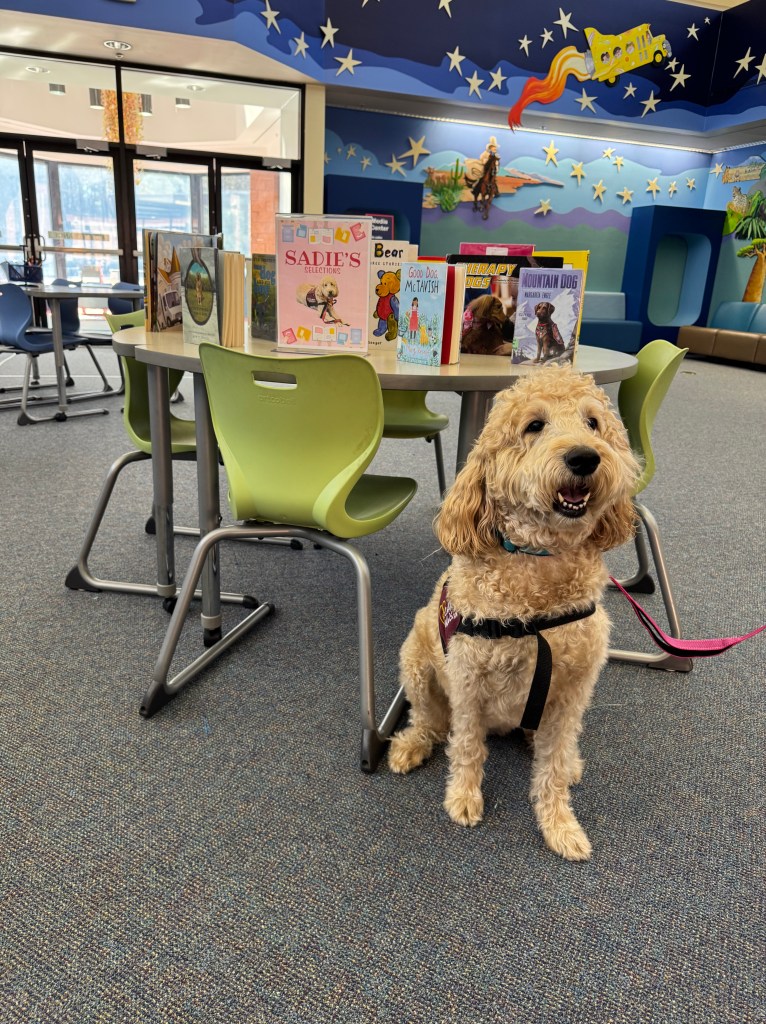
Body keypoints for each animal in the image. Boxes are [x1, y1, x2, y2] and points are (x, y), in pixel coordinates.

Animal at [388, 365, 640, 860]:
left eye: (593, 423)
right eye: (534, 426)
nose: (585, 457)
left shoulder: (573, 692)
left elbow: (552, 766)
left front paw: (560, 824)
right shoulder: (467, 680)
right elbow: (467, 746)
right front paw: (463, 798)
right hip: (417, 665)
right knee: (430, 722)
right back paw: (410, 746)